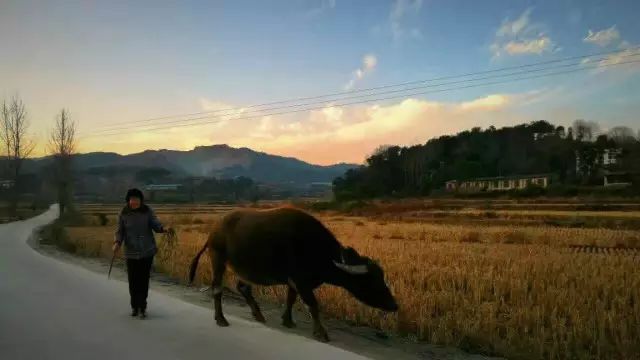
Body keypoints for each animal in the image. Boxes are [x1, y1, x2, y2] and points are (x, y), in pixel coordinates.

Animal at [188, 207, 398, 342]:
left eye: (382, 277)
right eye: (371, 281)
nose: (394, 305)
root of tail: (214, 230)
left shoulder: (294, 282)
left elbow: (290, 298)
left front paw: (287, 320)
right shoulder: (301, 280)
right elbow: (313, 305)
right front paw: (321, 332)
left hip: (244, 268)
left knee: (243, 287)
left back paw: (258, 314)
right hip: (218, 260)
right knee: (217, 288)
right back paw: (221, 318)